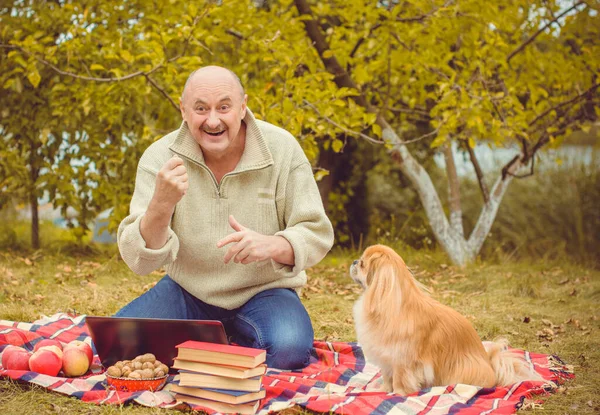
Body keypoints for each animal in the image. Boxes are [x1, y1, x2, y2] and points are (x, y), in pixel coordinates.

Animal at [350, 245, 540, 394]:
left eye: (362, 264)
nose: (354, 261)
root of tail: (491, 366)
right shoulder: (386, 359)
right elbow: (387, 378)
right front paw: (382, 391)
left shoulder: (402, 361)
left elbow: (399, 380)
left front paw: (397, 394)